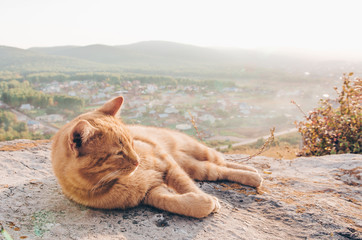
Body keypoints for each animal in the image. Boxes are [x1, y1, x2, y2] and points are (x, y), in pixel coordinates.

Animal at [51, 95, 262, 218]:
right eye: (118, 153)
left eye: (132, 142)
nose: (137, 161)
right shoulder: (152, 193)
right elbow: (176, 203)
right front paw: (201, 203)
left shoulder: (166, 164)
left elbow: (186, 186)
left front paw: (206, 198)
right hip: (196, 168)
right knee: (217, 170)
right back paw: (252, 175)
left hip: (197, 152)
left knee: (222, 161)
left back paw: (253, 173)